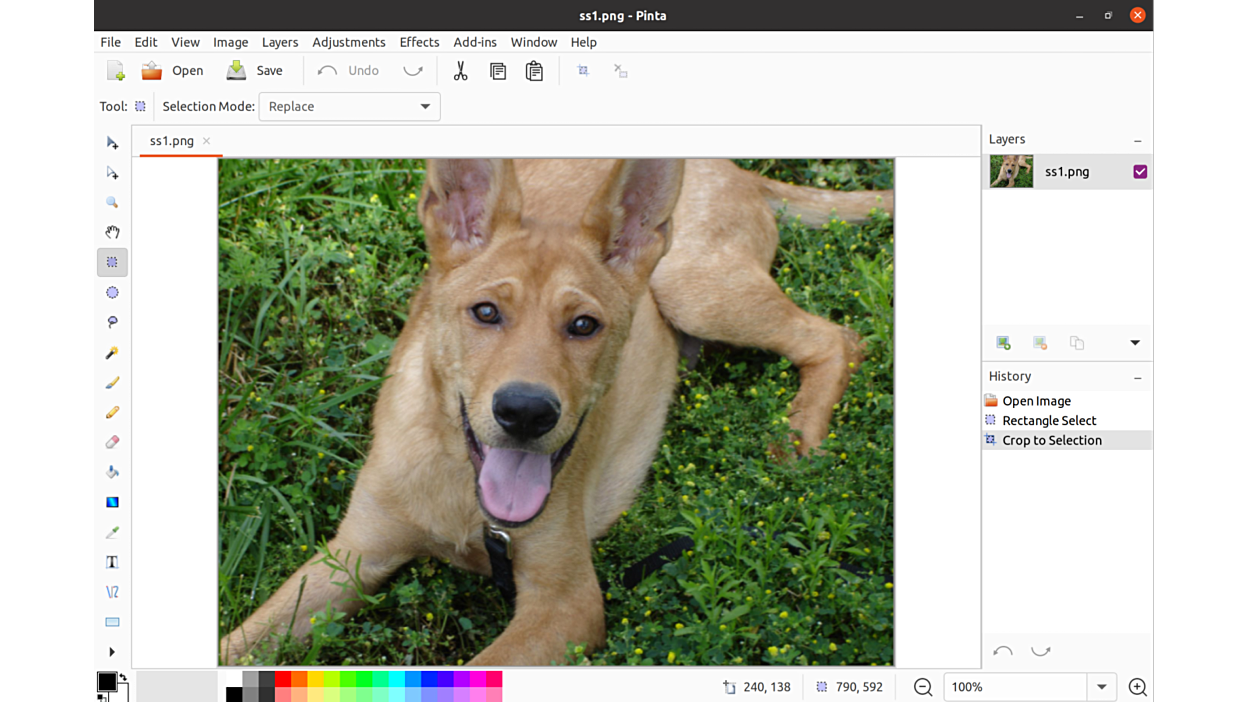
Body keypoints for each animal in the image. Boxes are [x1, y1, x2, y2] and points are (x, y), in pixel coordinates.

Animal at [221, 159, 894, 666]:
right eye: (486, 312)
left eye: (584, 325)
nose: (525, 413)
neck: (465, 495)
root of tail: (736, 170)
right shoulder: (354, 553)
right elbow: (246, 638)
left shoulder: (567, 602)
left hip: (694, 287)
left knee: (835, 338)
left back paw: (798, 435)